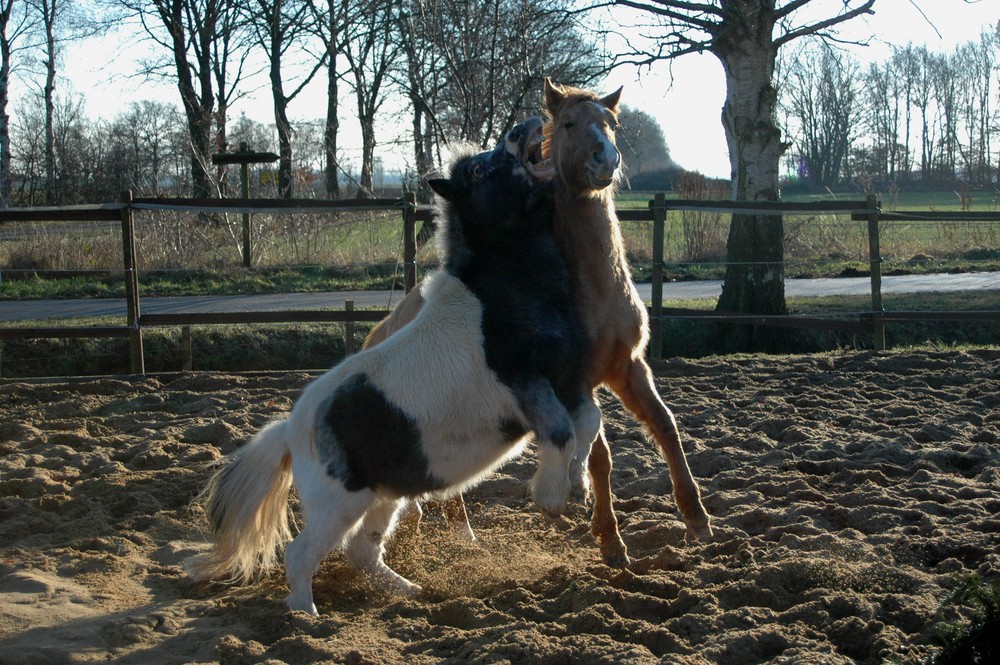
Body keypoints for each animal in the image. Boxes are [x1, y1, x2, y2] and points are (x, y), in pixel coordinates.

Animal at [188, 118, 600, 612]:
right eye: (478, 170)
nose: (525, 126)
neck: (500, 297)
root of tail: (290, 430)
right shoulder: (526, 385)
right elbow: (559, 432)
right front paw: (551, 496)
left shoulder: (569, 381)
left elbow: (589, 423)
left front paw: (580, 484)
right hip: (339, 505)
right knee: (301, 554)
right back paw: (307, 615)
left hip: (384, 498)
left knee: (362, 551)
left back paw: (411, 592)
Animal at [366, 79, 712, 564]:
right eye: (567, 123)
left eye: (612, 123)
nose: (606, 159)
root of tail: (384, 328)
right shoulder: (575, 380)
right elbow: (599, 454)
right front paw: (608, 537)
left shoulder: (628, 366)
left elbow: (664, 425)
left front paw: (696, 516)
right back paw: (458, 537)